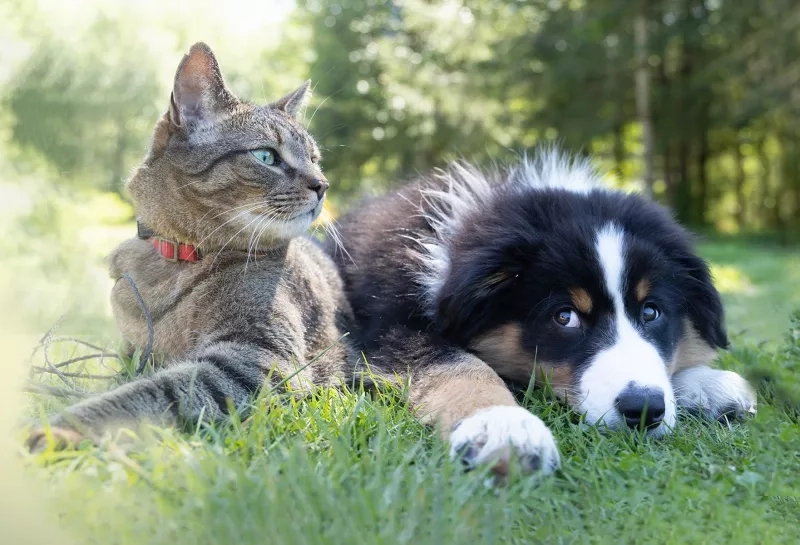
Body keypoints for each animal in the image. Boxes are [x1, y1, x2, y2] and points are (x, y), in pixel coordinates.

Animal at [26, 42, 354, 450]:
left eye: (314, 159)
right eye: (266, 156)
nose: (322, 184)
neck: (175, 261)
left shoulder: (256, 360)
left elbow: (144, 396)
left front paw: (61, 429)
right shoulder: (132, 352)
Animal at [330, 150, 756, 476]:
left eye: (651, 312)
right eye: (564, 317)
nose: (644, 409)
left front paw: (707, 383)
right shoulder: (390, 328)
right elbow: (459, 365)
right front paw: (503, 427)